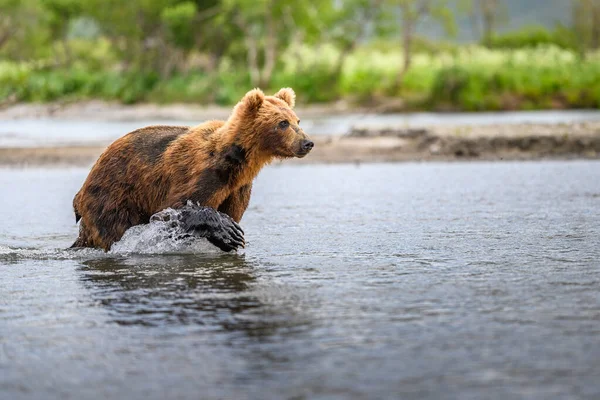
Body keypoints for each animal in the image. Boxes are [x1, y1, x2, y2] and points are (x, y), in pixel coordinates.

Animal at [72, 88, 312, 252]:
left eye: (297, 120)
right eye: (283, 123)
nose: (307, 143)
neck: (236, 161)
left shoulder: (238, 189)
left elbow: (232, 211)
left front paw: (228, 238)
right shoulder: (200, 173)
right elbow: (172, 208)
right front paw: (228, 230)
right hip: (114, 194)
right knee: (115, 228)